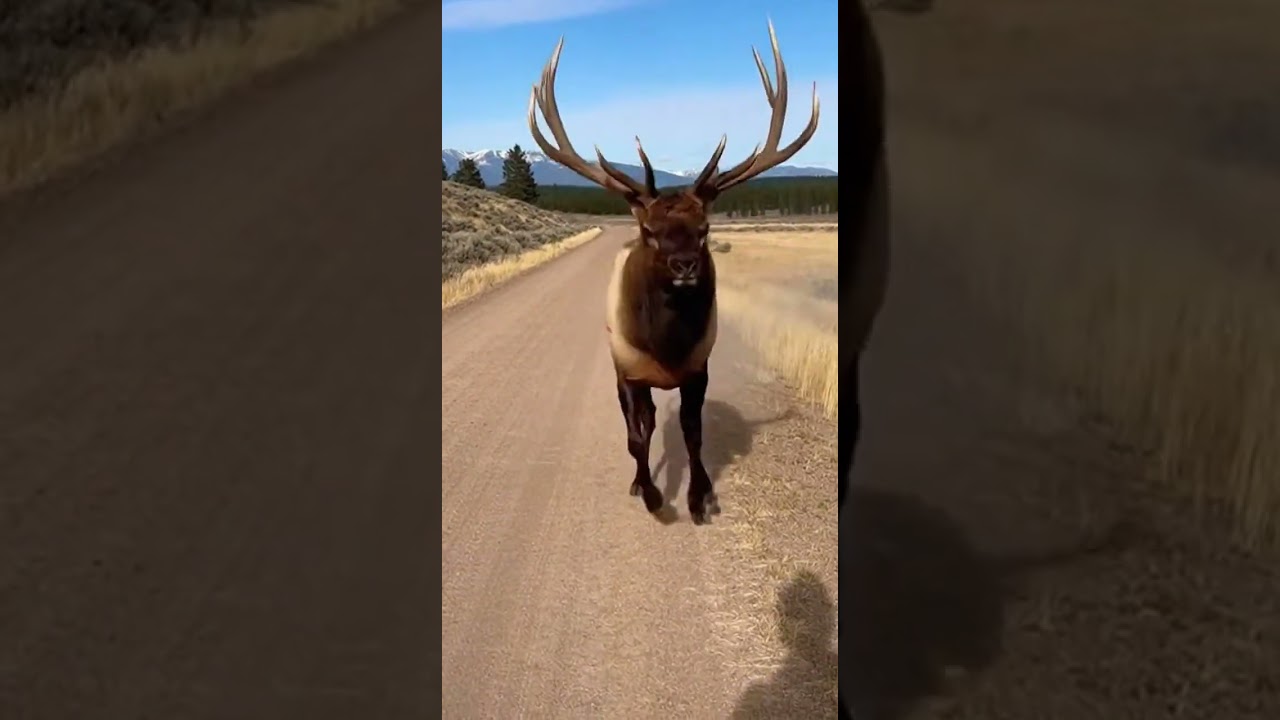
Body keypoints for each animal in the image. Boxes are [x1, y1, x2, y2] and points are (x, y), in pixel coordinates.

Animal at [527, 21, 820, 525]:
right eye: (649, 230)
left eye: (704, 229)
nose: (685, 264)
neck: (665, 348)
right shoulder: (627, 372)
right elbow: (636, 437)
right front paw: (651, 495)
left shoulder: (697, 368)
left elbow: (693, 433)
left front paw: (700, 497)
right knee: (641, 425)